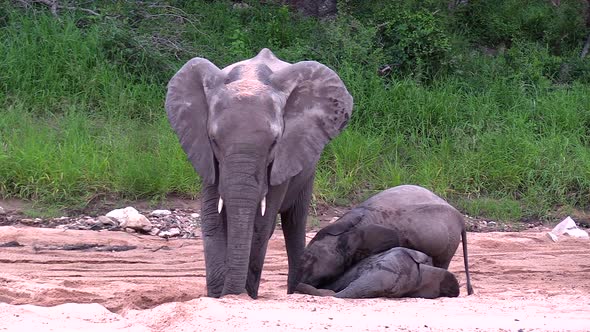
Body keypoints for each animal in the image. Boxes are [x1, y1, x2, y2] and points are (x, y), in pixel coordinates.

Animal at [164, 48, 354, 298]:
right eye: (214, 140)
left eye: (274, 142)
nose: (230, 294)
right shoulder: (205, 154)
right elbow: (213, 219)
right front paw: (218, 296)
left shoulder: (285, 154)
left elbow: (260, 225)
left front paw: (242, 295)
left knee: (295, 221)